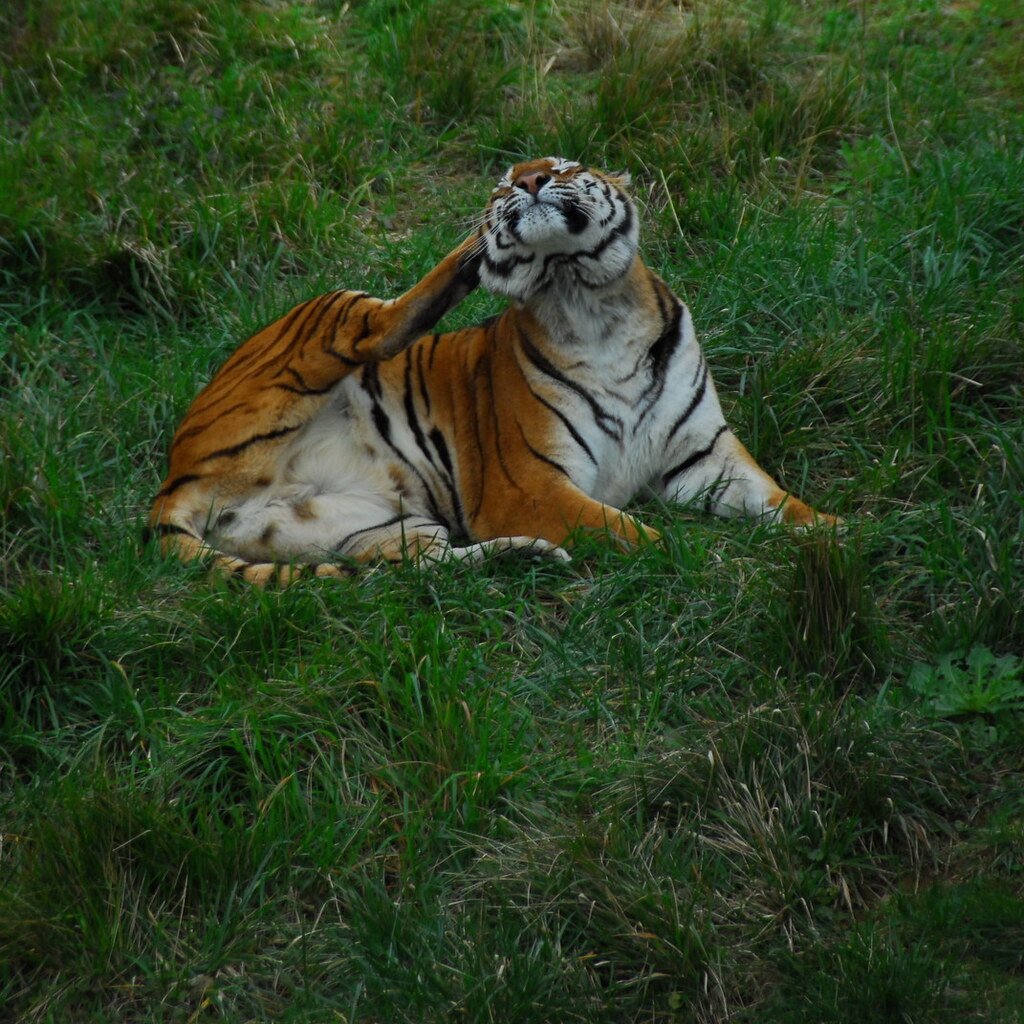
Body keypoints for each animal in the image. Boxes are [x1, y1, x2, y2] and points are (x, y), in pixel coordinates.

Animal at [149, 157, 835, 585]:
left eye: (565, 168)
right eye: (505, 182)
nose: (528, 178)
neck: (590, 303)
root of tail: (172, 482)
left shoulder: (702, 459)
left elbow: (784, 503)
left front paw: (840, 534)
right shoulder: (529, 486)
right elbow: (629, 531)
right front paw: (701, 563)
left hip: (373, 526)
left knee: (425, 567)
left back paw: (529, 557)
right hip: (322, 312)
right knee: (380, 326)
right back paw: (468, 258)